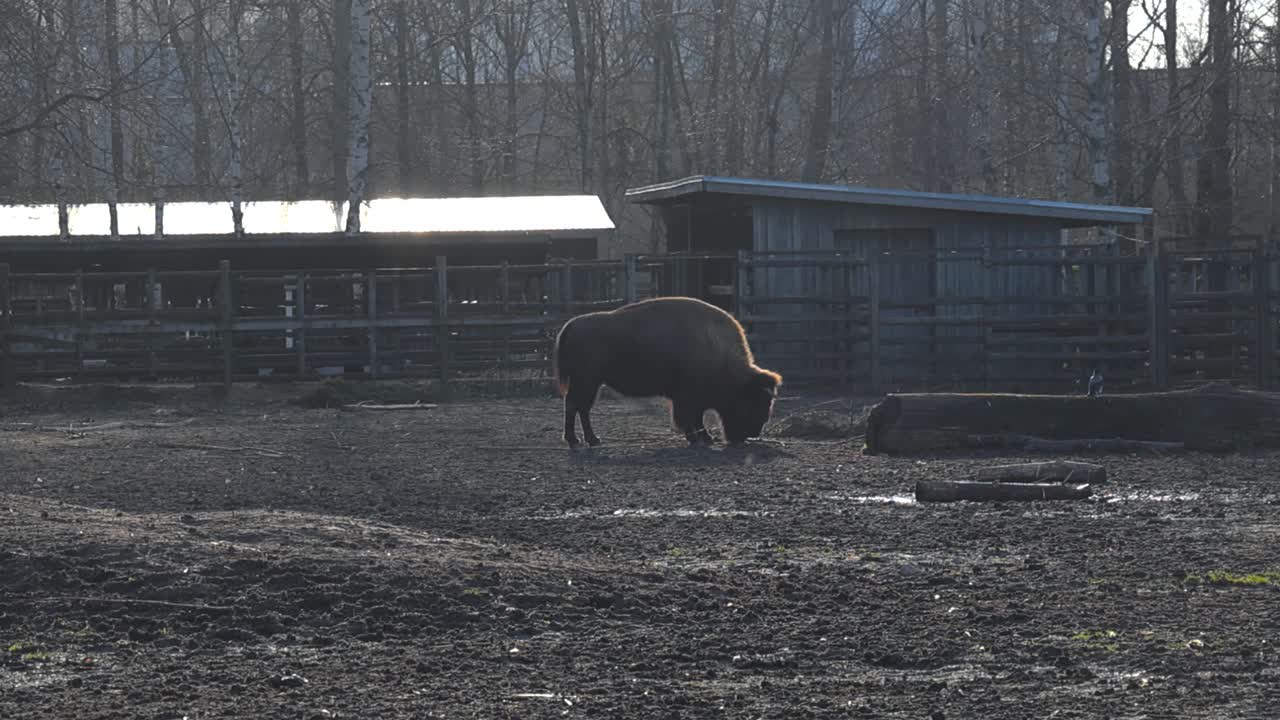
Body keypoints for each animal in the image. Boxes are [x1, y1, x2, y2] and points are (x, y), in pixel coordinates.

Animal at [552, 296, 782, 448]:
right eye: (751, 402)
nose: (749, 434)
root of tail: (572, 324)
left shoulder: (690, 398)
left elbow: (697, 417)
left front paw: (705, 438)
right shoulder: (687, 397)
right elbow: (689, 418)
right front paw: (697, 438)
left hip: (590, 382)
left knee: (579, 407)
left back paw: (587, 440)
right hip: (587, 381)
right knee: (577, 405)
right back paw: (583, 440)